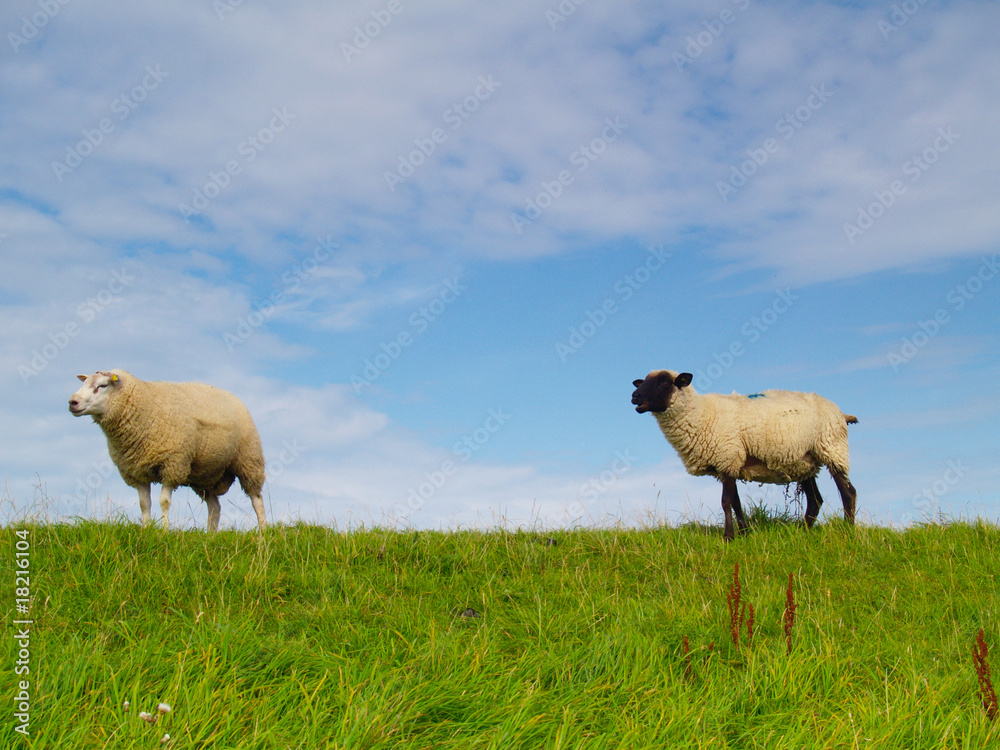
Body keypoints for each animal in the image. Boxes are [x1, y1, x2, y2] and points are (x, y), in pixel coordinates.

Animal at [68, 370, 267, 532]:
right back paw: (210, 536)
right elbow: (144, 504)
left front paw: (164, 531)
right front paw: (146, 530)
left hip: (248, 460)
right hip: (204, 475)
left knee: (256, 499)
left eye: (102, 386)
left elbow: (164, 501)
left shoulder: (172, 464)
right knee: (215, 507)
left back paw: (262, 533)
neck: (147, 408)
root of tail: (233, 397)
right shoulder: (137, 473)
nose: (72, 402)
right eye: (84, 383)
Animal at [630, 370, 857, 540]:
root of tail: (842, 414)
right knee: (815, 500)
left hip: (832, 448)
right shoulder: (730, 463)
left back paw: (847, 529)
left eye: (664, 383)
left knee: (848, 492)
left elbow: (726, 501)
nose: (634, 396)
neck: (700, 414)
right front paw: (744, 533)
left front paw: (728, 537)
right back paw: (803, 531)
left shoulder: (727, 457)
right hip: (804, 461)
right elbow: (736, 502)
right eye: (643, 382)